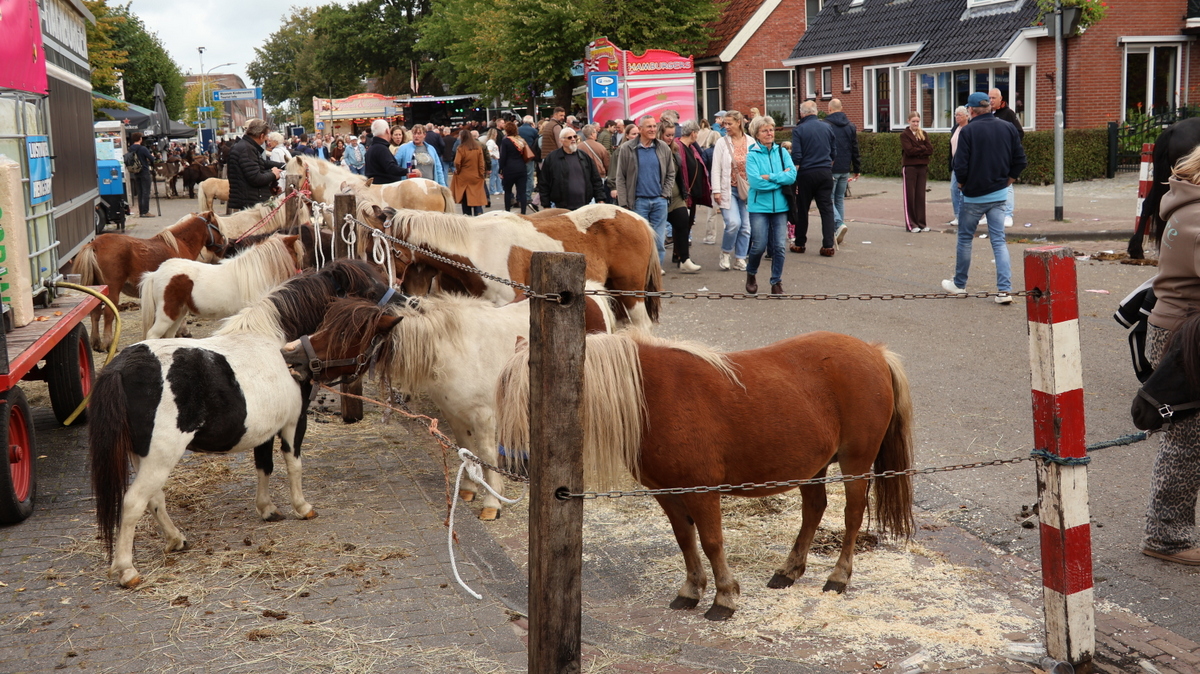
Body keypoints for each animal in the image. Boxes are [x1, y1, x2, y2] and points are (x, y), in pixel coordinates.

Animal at [73, 212, 227, 352]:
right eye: (218, 227)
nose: (225, 246)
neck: (181, 243)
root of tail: (94, 244)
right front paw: (182, 332)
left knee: (95, 314)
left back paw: (96, 343)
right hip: (112, 291)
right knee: (108, 314)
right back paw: (108, 344)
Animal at [89, 259, 393, 588]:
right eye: (369, 290)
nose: (399, 307)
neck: (275, 342)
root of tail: (120, 368)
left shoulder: (265, 431)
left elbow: (264, 466)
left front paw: (267, 509)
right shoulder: (293, 423)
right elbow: (293, 465)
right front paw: (302, 507)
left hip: (142, 455)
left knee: (154, 498)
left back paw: (175, 539)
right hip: (160, 456)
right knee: (133, 503)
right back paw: (127, 570)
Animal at [139, 235, 301, 340]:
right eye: (295, 253)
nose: (300, 272)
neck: (254, 272)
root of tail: (155, 273)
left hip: (178, 314)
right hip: (166, 314)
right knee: (153, 335)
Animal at [281, 289, 617, 520]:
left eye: (343, 336)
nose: (290, 353)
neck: (454, 350)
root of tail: (592, 299)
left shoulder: (485, 418)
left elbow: (486, 455)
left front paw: (492, 503)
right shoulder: (455, 415)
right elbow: (465, 450)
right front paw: (468, 489)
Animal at [494, 330, 915, 620]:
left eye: (533, 398)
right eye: (501, 393)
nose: (515, 465)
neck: (654, 395)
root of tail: (874, 352)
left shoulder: (703, 491)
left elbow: (712, 542)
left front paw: (724, 597)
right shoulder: (666, 492)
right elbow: (685, 539)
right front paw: (691, 590)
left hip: (855, 462)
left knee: (852, 515)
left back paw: (838, 577)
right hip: (814, 466)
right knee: (814, 510)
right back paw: (789, 570)